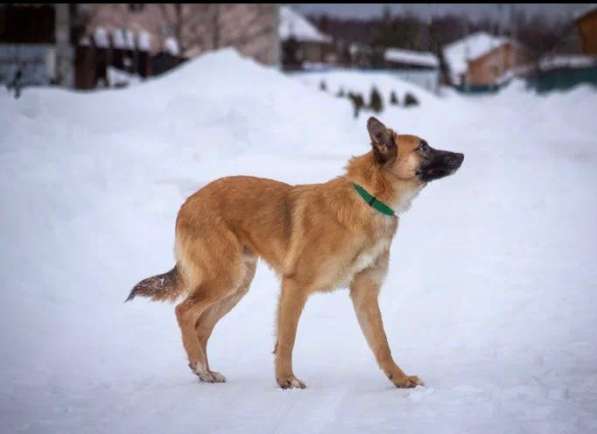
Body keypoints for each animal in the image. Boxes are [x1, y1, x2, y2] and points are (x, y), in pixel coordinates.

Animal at [124, 116, 460, 390]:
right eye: (423, 147)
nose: (461, 156)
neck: (369, 200)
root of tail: (189, 201)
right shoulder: (295, 286)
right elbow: (287, 338)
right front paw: (286, 379)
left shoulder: (364, 293)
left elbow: (381, 343)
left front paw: (400, 379)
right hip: (225, 278)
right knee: (184, 311)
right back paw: (199, 365)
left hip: (237, 285)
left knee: (201, 325)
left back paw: (205, 372)